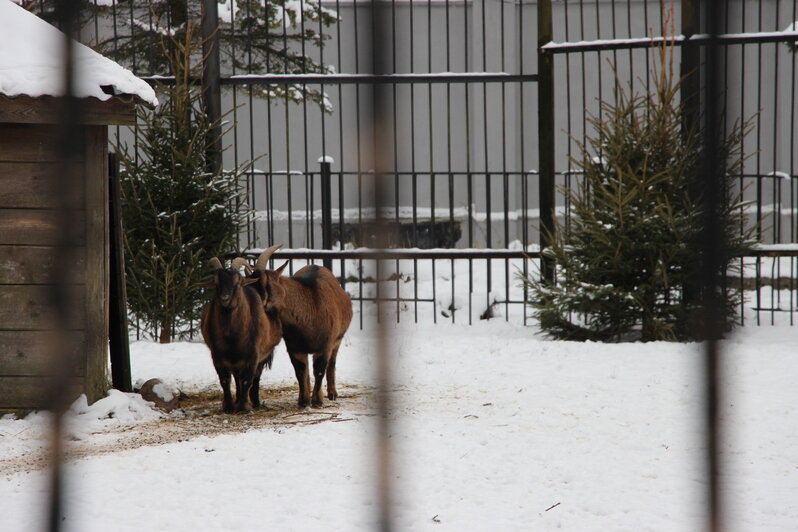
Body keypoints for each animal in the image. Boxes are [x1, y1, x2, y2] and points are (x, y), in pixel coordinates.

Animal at [199, 258, 282, 412]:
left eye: (237, 283)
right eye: (216, 282)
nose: (225, 298)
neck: (232, 338)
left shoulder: (253, 355)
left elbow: (247, 380)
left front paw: (244, 407)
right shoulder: (217, 356)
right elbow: (225, 380)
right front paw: (229, 406)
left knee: (255, 377)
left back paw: (255, 402)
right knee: (237, 377)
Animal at [248, 245, 352, 408]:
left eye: (265, 283)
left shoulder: (325, 346)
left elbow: (320, 370)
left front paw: (317, 401)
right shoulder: (295, 348)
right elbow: (300, 371)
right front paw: (304, 401)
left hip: (338, 339)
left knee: (332, 363)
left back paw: (332, 393)